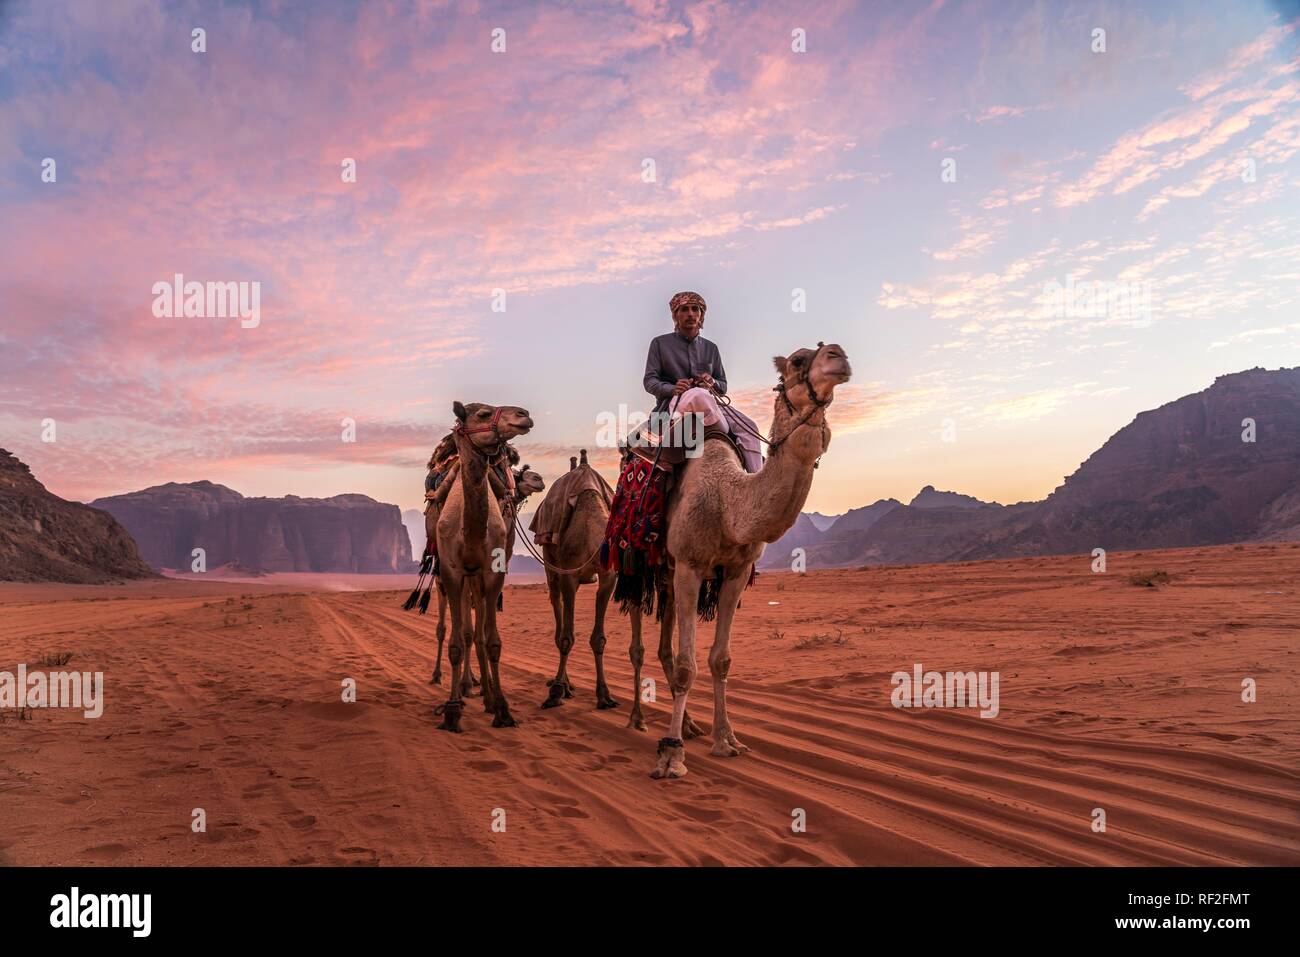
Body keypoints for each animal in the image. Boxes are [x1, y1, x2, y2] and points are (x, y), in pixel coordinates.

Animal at [436, 397, 533, 733]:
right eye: (482, 413)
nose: (524, 415)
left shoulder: (493, 574)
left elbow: (491, 642)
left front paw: (502, 708)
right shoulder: (452, 573)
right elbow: (456, 642)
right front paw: (452, 709)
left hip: (477, 579)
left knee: (477, 635)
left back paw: (488, 696)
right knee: (462, 632)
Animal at [533, 447, 624, 712]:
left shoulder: (608, 577)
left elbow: (599, 639)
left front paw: (604, 695)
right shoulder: (569, 575)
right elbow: (566, 637)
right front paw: (555, 692)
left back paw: (568, 684)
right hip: (551, 564)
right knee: (558, 609)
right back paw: (563, 684)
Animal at [626, 343, 852, 780]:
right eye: (797, 360)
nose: (839, 355)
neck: (727, 502)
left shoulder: (735, 571)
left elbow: (720, 659)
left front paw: (726, 740)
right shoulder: (691, 566)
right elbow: (687, 665)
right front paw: (671, 755)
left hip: (666, 574)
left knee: (663, 644)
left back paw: (690, 725)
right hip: (628, 563)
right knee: (636, 643)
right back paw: (637, 719)